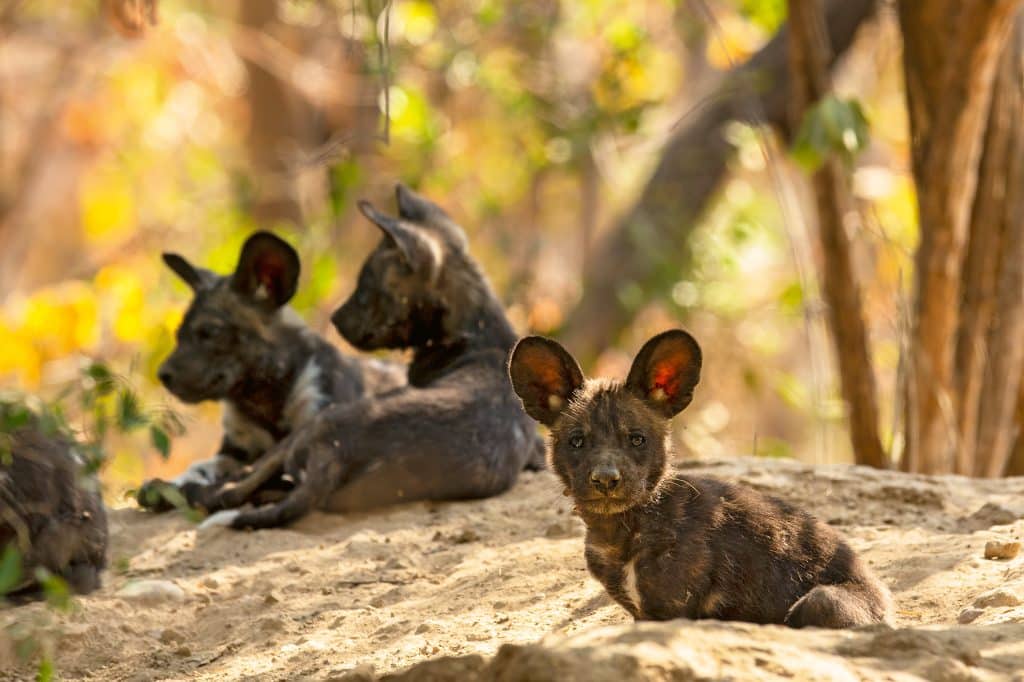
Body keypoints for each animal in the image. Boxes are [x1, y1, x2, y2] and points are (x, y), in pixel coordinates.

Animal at [135, 231, 403, 507]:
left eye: (210, 332)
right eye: (179, 336)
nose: (163, 375)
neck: (262, 401)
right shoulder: (235, 451)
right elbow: (201, 466)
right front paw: (171, 485)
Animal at [192, 183, 544, 528]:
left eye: (364, 291)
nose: (334, 319)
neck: (477, 331)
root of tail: (335, 454)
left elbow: (250, 469)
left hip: (320, 422)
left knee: (239, 487)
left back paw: (204, 492)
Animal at [507, 329, 892, 626]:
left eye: (637, 439)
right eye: (577, 441)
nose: (605, 479)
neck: (621, 532)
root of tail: (885, 602)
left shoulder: (668, 613)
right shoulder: (641, 614)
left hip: (819, 602)